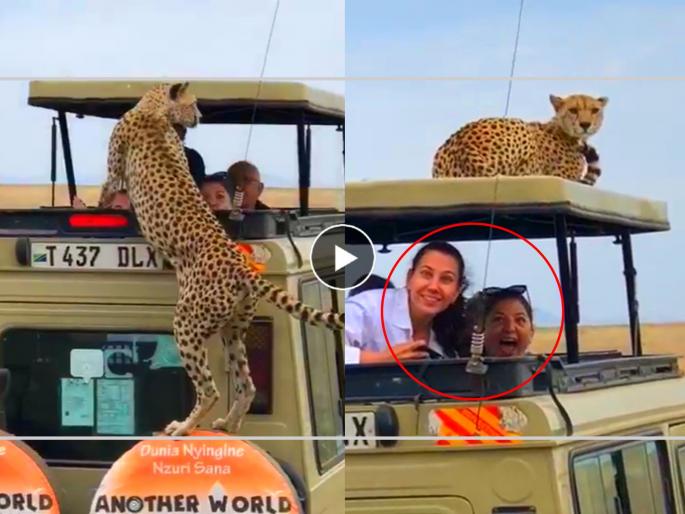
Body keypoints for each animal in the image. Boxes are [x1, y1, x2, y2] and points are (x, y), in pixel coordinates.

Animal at [98, 82, 344, 436]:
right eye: (194, 104)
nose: (199, 116)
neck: (156, 109)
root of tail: (241, 264)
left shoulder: (115, 170)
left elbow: (106, 189)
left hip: (187, 321)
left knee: (210, 388)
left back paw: (183, 426)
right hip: (233, 330)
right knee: (247, 384)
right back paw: (229, 423)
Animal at [431, 94, 608, 186]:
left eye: (594, 110)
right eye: (573, 110)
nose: (585, 124)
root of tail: (465, 143)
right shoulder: (563, 177)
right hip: (520, 127)